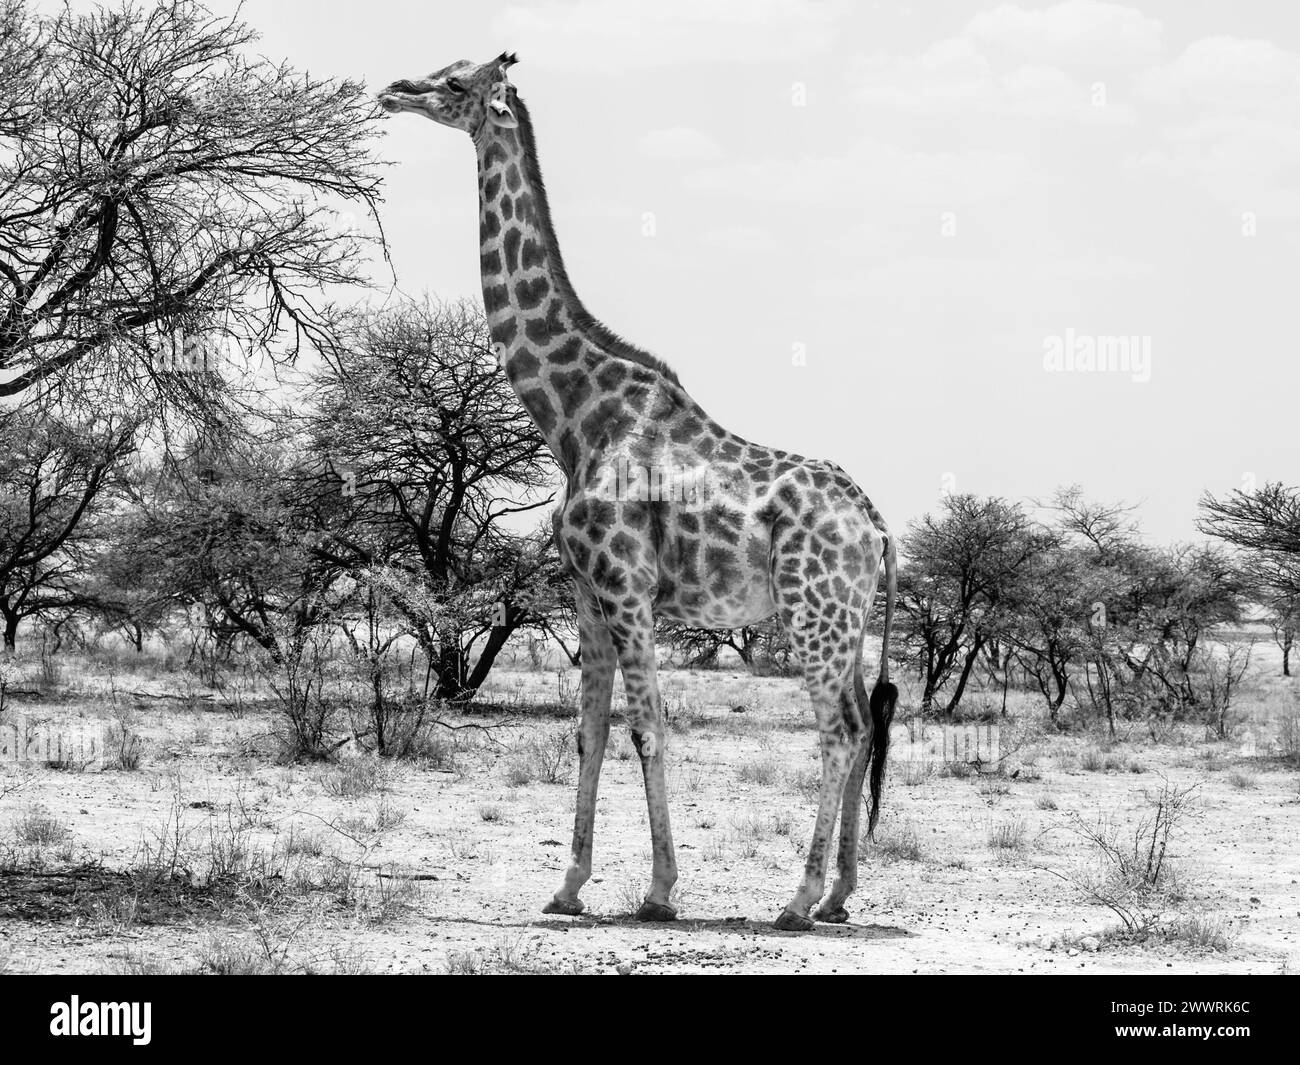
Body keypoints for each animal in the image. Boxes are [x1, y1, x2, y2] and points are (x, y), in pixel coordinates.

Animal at [379, 52, 899, 931]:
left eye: (453, 81)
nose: (390, 91)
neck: (574, 416)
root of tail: (875, 522)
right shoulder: (586, 593)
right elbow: (589, 730)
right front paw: (568, 884)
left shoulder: (627, 586)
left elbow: (648, 727)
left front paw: (658, 890)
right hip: (848, 617)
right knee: (862, 726)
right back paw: (837, 894)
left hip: (812, 612)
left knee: (837, 728)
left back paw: (796, 899)